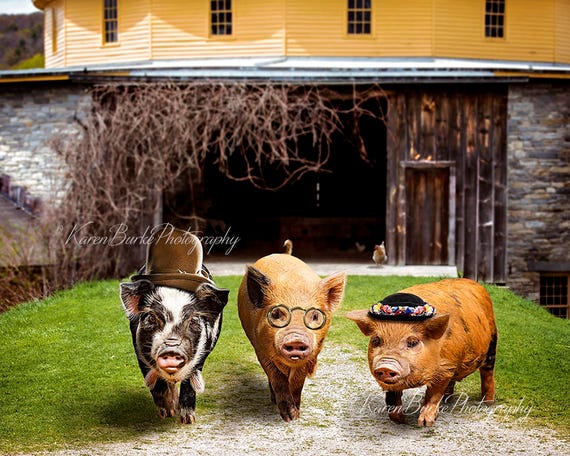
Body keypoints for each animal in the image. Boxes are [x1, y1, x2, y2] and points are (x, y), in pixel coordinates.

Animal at [236, 240, 344, 422]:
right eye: (276, 314)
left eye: (315, 315)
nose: (296, 339)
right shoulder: (259, 348)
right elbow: (277, 377)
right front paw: (288, 417)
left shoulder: (314, 351)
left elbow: (298, 380)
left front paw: (296, 415)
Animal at [344, 278, 494, 428]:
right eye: (376, 340)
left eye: (413, 342)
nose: (386, 366)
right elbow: (392, 397)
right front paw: (400, 420)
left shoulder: (445, 369)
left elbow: (433, 394)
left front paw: (424, 423)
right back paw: (447, 400)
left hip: (492, 343)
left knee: (487, 373)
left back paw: (488, 403)